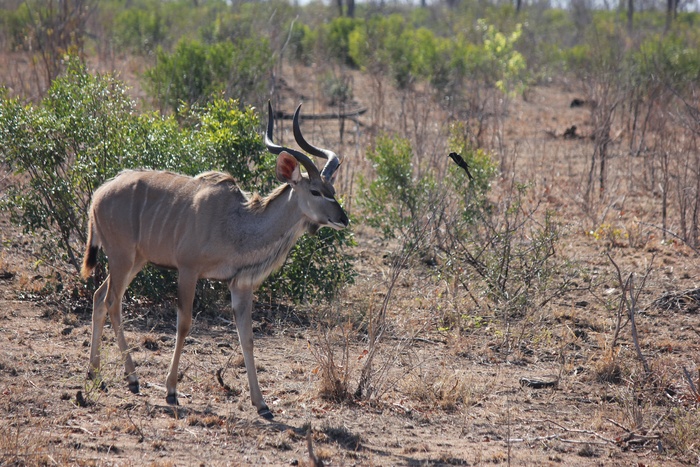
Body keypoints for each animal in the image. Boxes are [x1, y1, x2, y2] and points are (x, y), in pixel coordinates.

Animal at [80, 103, 348, 420]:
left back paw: (95, 374)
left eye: (332, 190)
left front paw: (262, 404)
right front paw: (171, 390)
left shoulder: (240, 285)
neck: (237, 222)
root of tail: (98, 195)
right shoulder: (188, 270)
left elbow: (247, 337)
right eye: (316, 191)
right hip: (122, 257)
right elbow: (184, 324)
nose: (343, 219)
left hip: (135, 260)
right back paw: (132, 379)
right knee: (112, 302)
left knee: (99, 297)